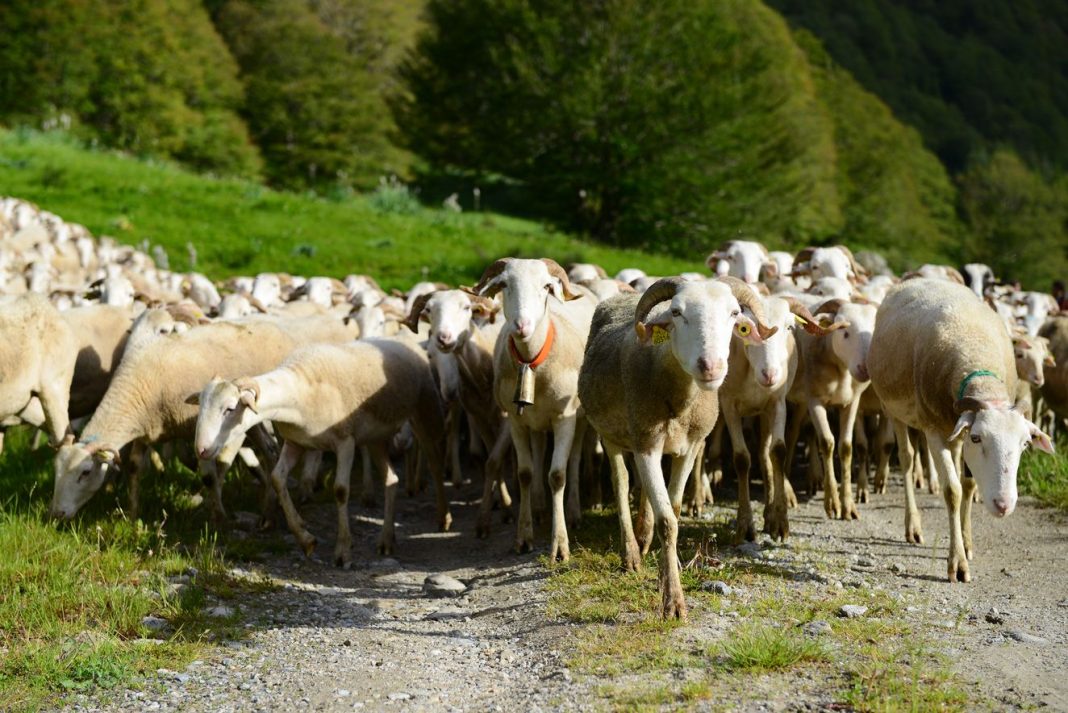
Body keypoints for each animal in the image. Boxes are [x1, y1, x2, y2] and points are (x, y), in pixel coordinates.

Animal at [192, 337, 450, 563]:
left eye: (230, 409)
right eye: (201, 405)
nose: (201, 450)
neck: (298, 390)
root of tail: (407, 343)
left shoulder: (345, 442)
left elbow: (341, 490)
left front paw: (343, 551)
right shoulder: (295, 443)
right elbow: (277, 479)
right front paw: (305, 539)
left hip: (425, 411)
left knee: (436, 465)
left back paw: (443, 518)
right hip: (375, 438)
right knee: (391, 480)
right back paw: (387, 540)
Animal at [472, 257, 598, 563]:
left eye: (546, 287)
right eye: (504, 285)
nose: (522, 325)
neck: (531, 362)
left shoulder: (564, 418)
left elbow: (557, 475)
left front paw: (560, 546)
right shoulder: (516, 421)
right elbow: (526, 473)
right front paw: (523, 537)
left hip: (579, 418)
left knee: (574, 458)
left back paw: (574, 512)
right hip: (535, 420)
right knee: (540, 449)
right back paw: (540, 507)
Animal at [576, 275, 777, 614]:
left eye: (735, 313)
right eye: (676, 312)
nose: (710, 366)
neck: (679, 400)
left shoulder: (691, 446)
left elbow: (675, 508)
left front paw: (662, 574)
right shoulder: (646, 443)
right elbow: (667, 521)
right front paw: (673, 600)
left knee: (642, 489)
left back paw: (643, 537)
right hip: (610, 433)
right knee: (621, 482)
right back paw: (631, 552)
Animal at [871, 275, 1055, 580]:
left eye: (1025, 444)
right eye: (978, 438)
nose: (1003, 505)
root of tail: (920, 277)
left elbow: (968, 485)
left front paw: (967, 544)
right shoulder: (935, 431)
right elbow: (952, 491)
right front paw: (957, 562)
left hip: (953, 430)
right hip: (895, 409)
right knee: (907, 458)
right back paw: (913, 526)